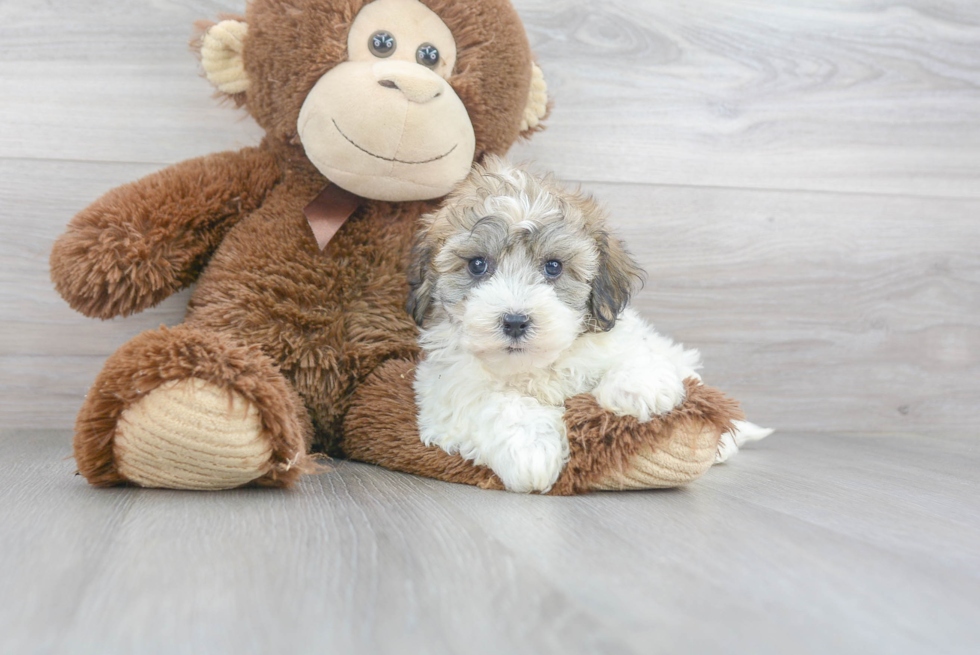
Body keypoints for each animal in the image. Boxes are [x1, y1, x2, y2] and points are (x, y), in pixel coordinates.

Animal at [410, 159, 768, 492]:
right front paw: (532, 449)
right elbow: (497, 403)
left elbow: (632, 353)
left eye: (553, 266)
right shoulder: (446, 391)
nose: (514, 321)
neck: (535, 367)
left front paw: (640, 389)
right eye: (477, 265)